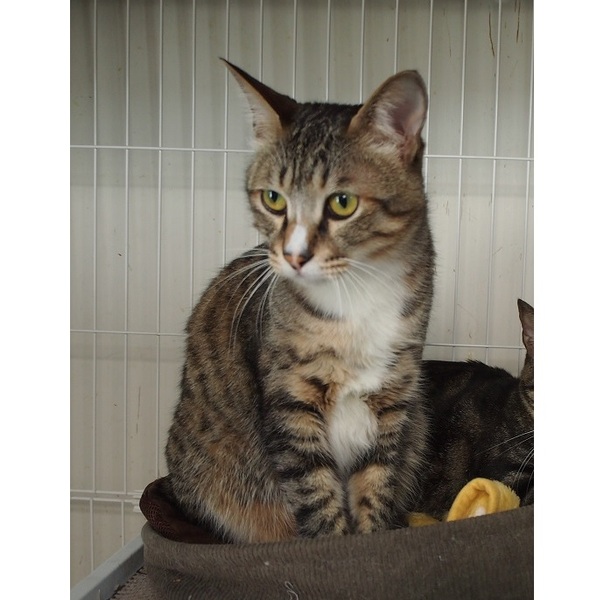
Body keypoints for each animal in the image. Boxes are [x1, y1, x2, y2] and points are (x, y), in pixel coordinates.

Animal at [165, 60, 435, 543]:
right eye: (273, 198)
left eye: (343, 203)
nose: (293, 255)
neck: (357, 290)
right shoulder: (290, 400)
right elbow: (316, 491)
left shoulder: (394, 399)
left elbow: (376, 482)